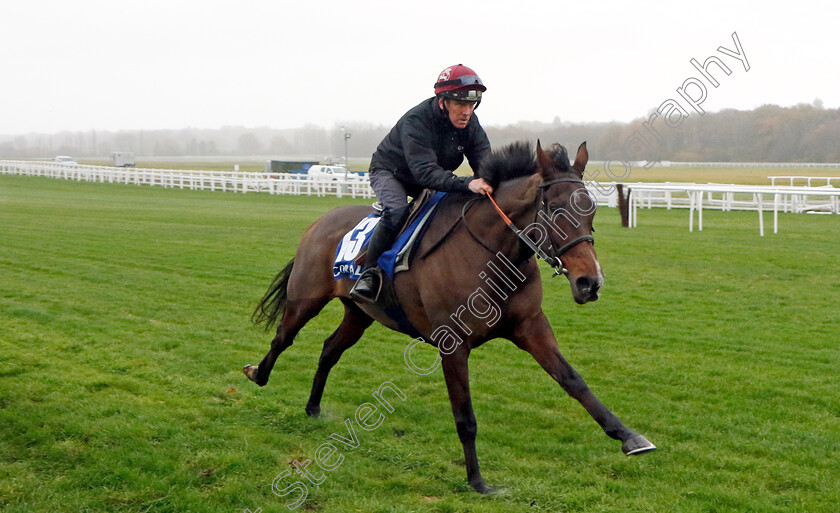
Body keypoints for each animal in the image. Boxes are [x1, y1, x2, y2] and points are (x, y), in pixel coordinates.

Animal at [243, 140, 656, 492]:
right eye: (555, 209)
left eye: (591, 209)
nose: (590, 282)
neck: (492, 253)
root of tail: (320, 222)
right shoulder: (453, 344)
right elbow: (465, 415)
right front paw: (477, 481)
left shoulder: (530, 327)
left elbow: (574, 381)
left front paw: (629, 437)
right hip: (306, 298)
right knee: (283, 337)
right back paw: (258, 373)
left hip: (359, 314)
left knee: (330, 349)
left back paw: (313, 407)